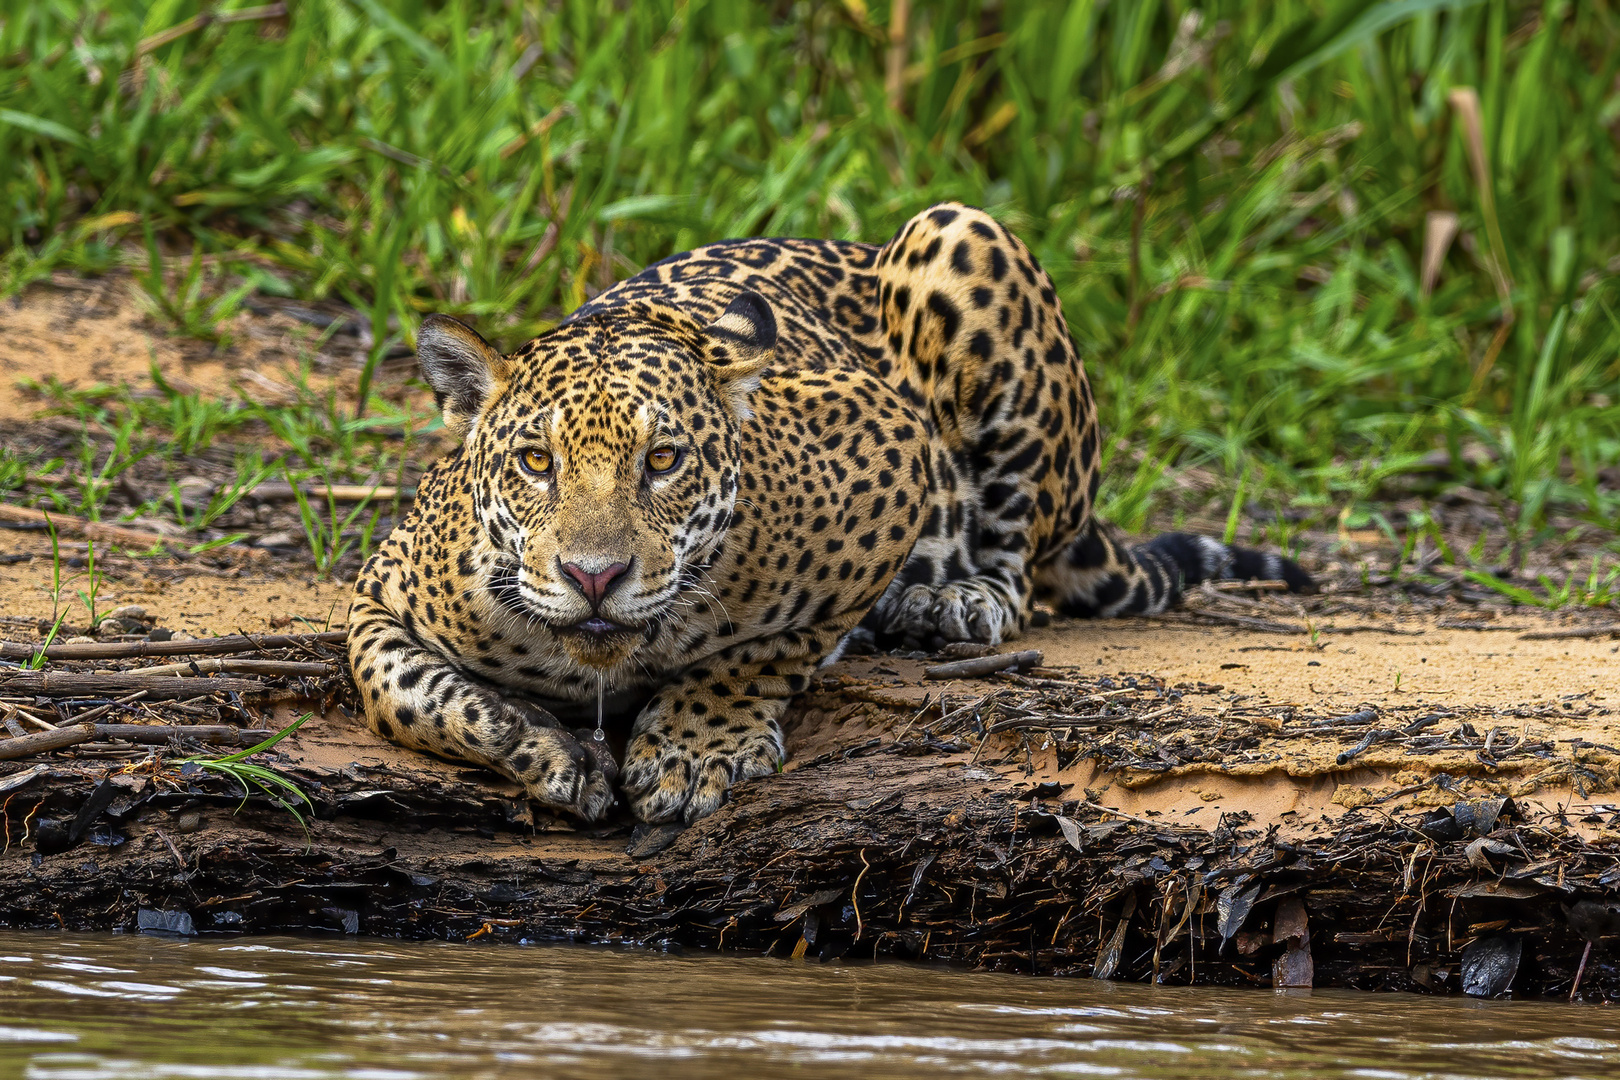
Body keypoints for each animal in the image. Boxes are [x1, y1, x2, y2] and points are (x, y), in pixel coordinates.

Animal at [346, 202, 1312, 826]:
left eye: (663, 461)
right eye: (536, 463)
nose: (595, 577)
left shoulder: (887, 455)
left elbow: (769, 647)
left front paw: (695, 748)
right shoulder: (380, 591)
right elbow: (403, 695)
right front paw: (549, 751)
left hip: (962, 237)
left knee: (1018, 560)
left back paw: (952, 602)